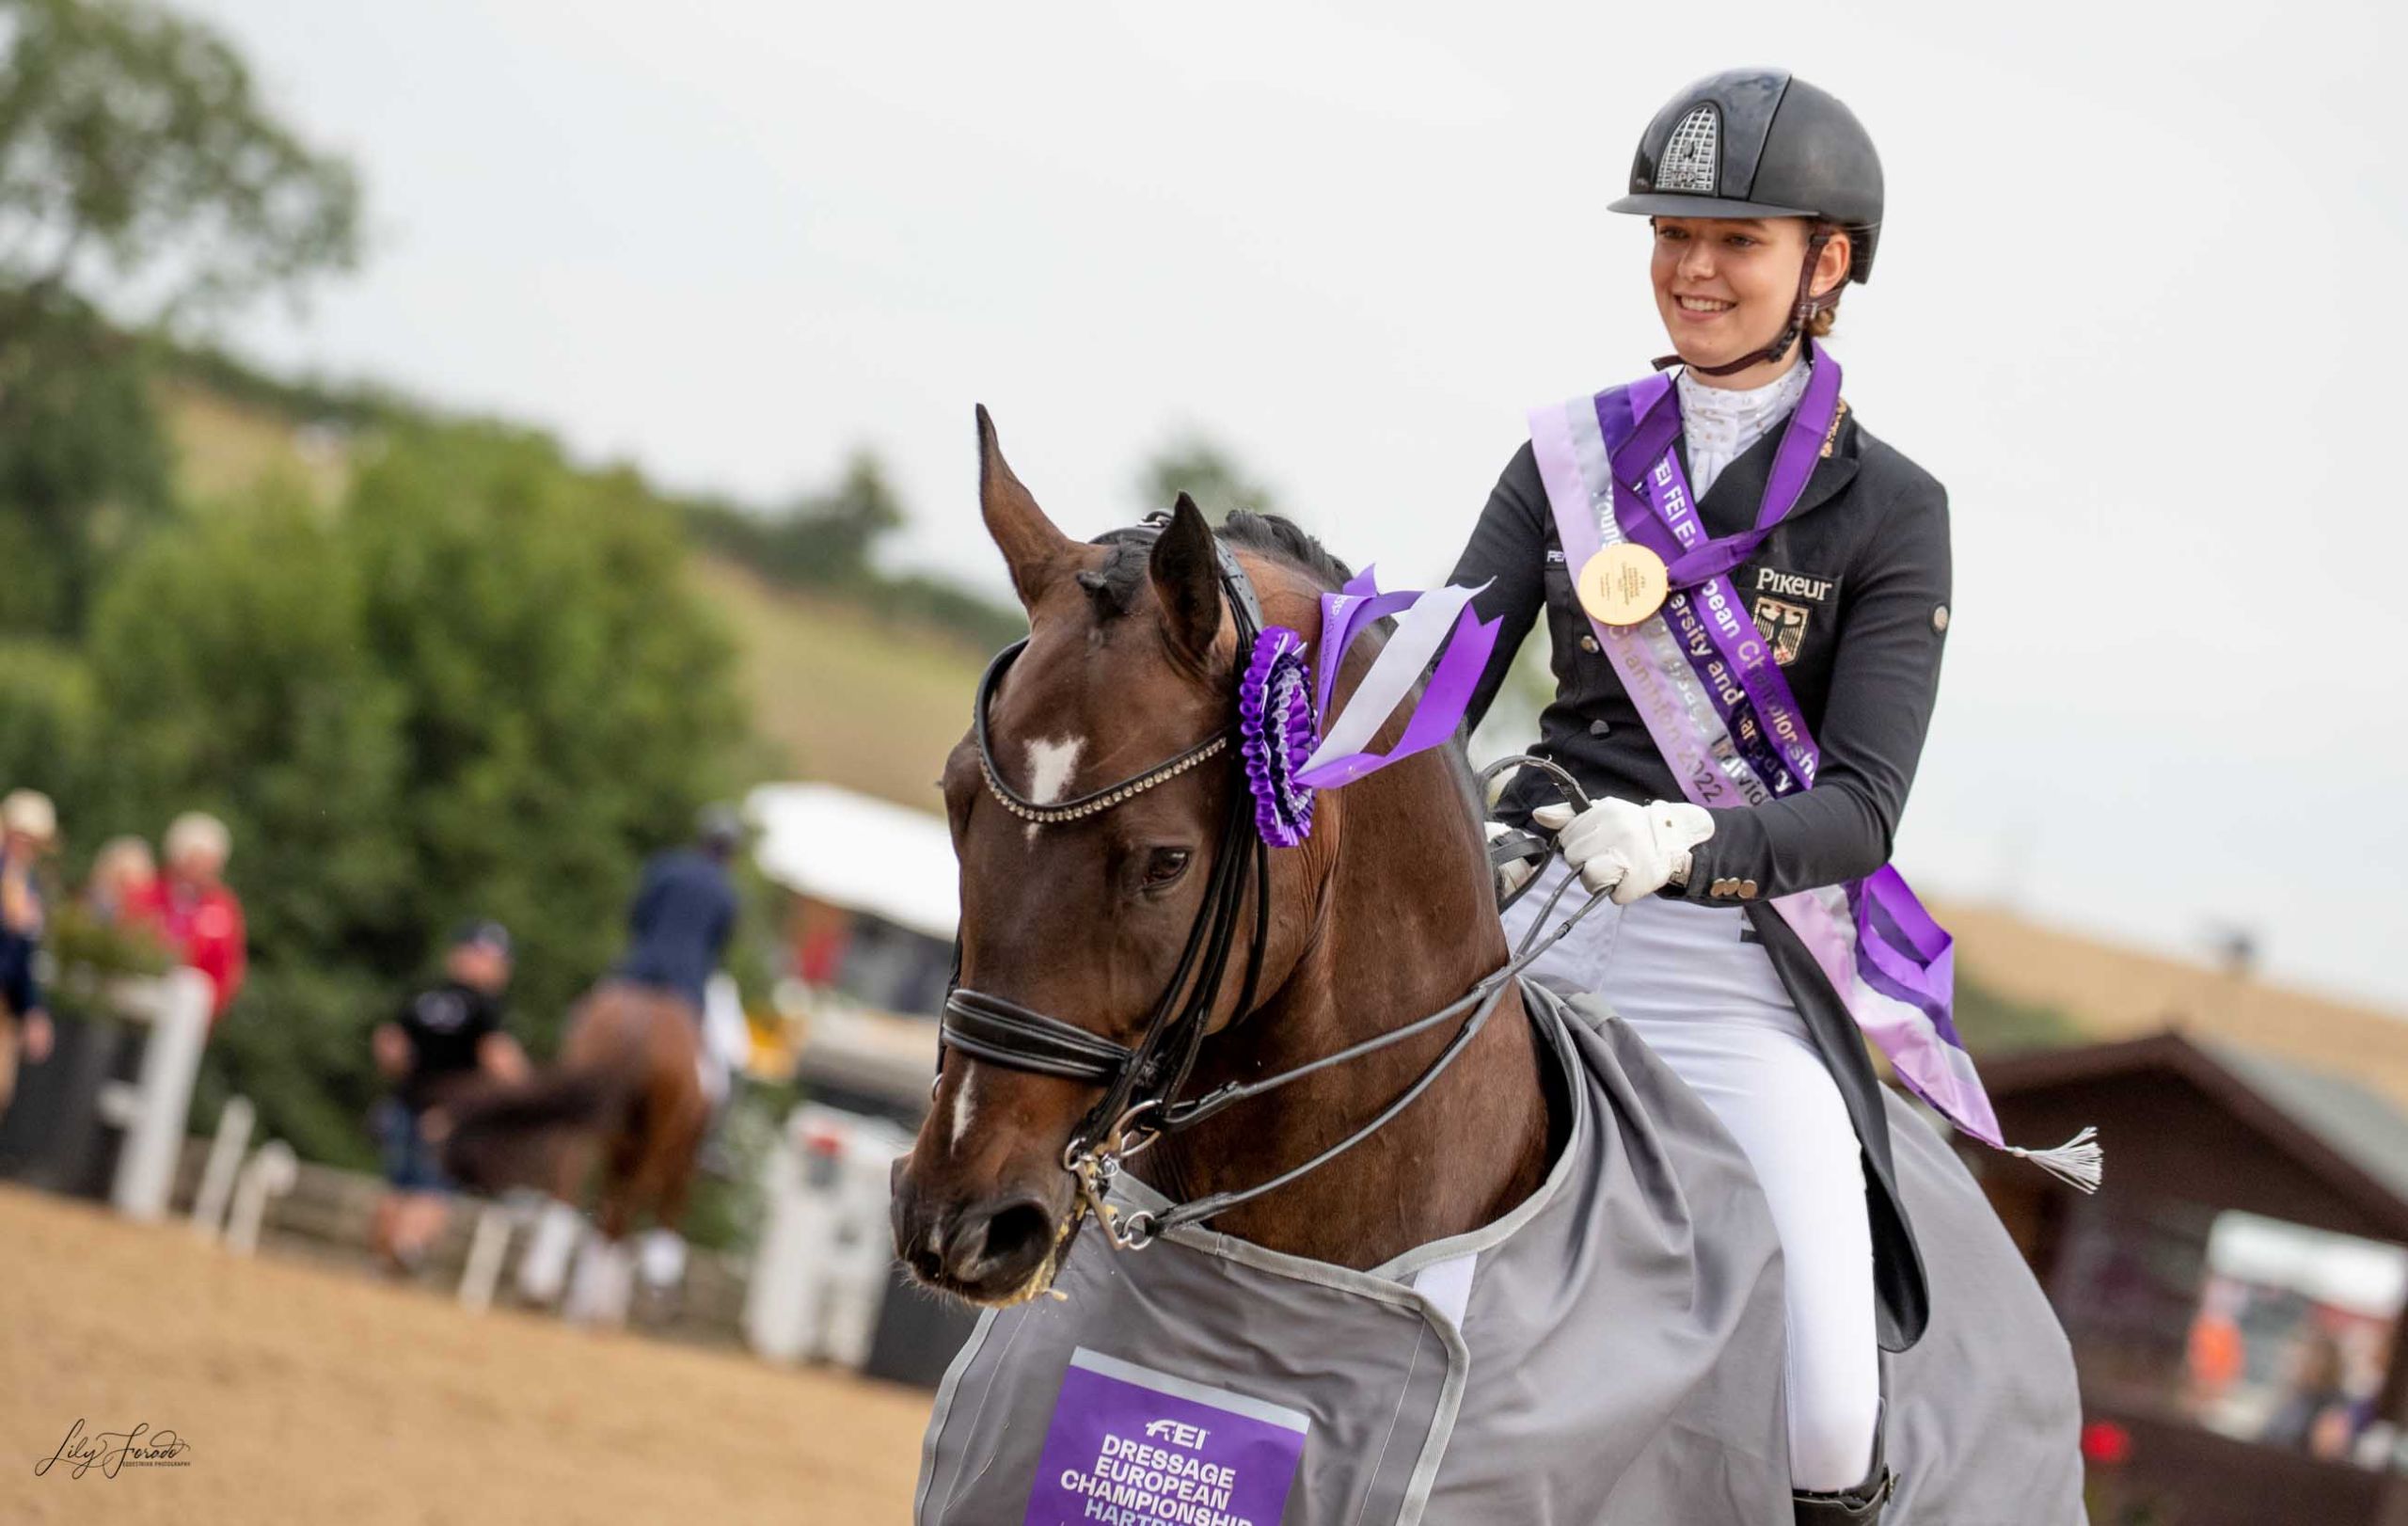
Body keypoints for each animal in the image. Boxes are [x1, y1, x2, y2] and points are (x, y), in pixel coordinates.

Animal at [437, 972, 707, 1318]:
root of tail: (642, 1017)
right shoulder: (668, 1157)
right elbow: (646, 1208)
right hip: (649, 1143)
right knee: (621, 1208)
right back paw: (596, 1302)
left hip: (589, 1118)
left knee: (572, 1178)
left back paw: (544, 1286)